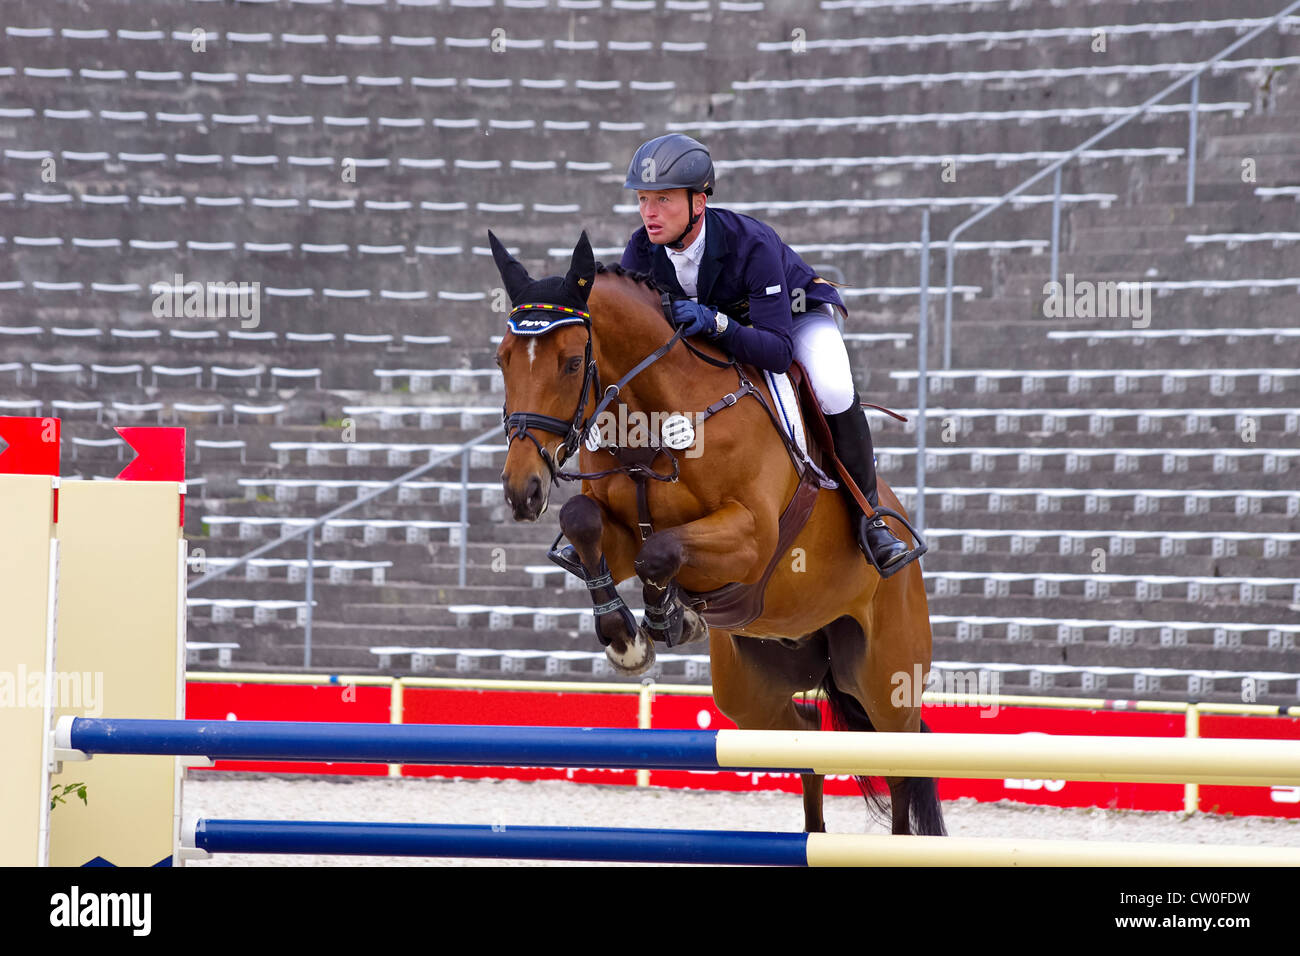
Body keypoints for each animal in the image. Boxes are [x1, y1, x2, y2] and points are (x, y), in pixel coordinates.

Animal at [488, 231, 946, 837]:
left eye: (570, 363)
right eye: (502, 360)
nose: (523, 490)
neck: (655, 416)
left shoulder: (750, 538)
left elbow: (661, 551)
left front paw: (664, 620)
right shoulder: (618, 533)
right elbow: (585, 522)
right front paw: (629, 637)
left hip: (886, 677)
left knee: (901, 765)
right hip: (749, 688)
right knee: (806, 736)